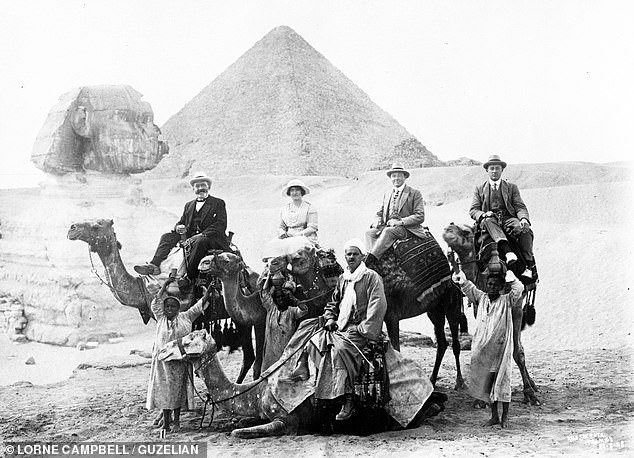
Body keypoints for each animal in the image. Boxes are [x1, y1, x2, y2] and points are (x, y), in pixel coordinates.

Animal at [68, 218, 262, 382]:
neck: (142, 286)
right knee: (249, 357)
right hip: (241, 321)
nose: (72, 228)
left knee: (254, 356)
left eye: (97, 226)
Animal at [157, 328, 444, 438]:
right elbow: (241, 421)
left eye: (190, 338)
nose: (162, 350)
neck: (258, 390)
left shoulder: (287, 420)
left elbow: (239, 432)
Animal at [440, 222, 540, 404]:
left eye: (466, 231)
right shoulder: (479, 302)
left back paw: (532, 385)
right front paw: (481, 399)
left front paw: (529, 394)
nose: (448, 228)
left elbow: (518, 351)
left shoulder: (515, 305)